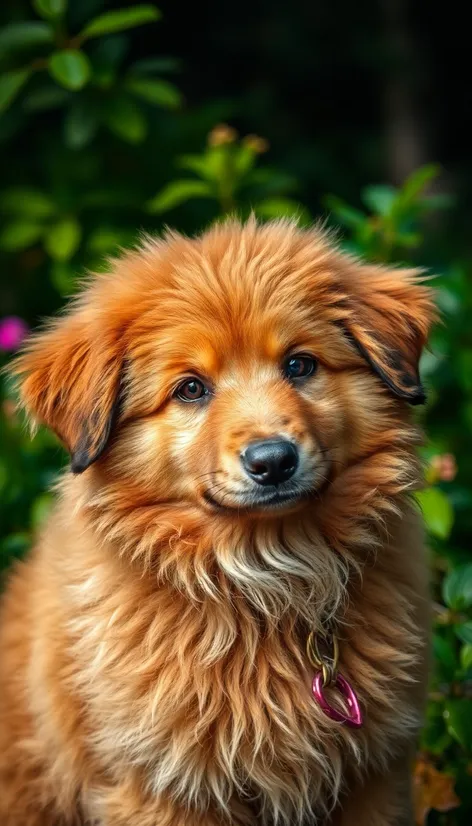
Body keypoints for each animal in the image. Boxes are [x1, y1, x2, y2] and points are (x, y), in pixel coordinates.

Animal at [0, 219, 436, 824]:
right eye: (190, 388)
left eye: (299, 364)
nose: (272, 461)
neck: (267, 579)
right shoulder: (165, 786)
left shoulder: (372, 778)